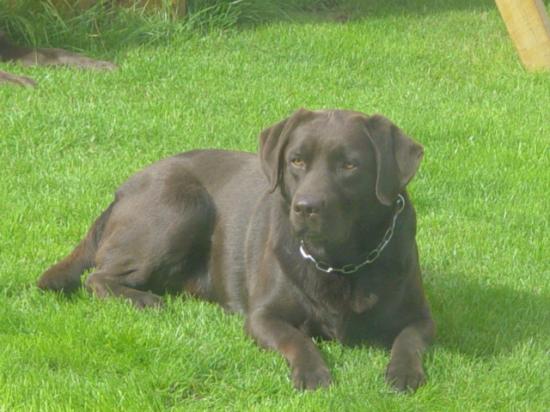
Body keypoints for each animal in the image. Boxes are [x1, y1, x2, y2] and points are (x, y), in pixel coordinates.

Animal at [38, 108, 435, 392]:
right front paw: (312, 372)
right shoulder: (263, 317)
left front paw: (403, 373)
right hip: (184, 207)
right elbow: (297, 339)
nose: (306, 207)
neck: (339, 261)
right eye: (296, 161)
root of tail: (123, 189)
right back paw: (144, 300)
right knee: (97, 277)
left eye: (350, 165)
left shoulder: (421, 317)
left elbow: (409, 340)